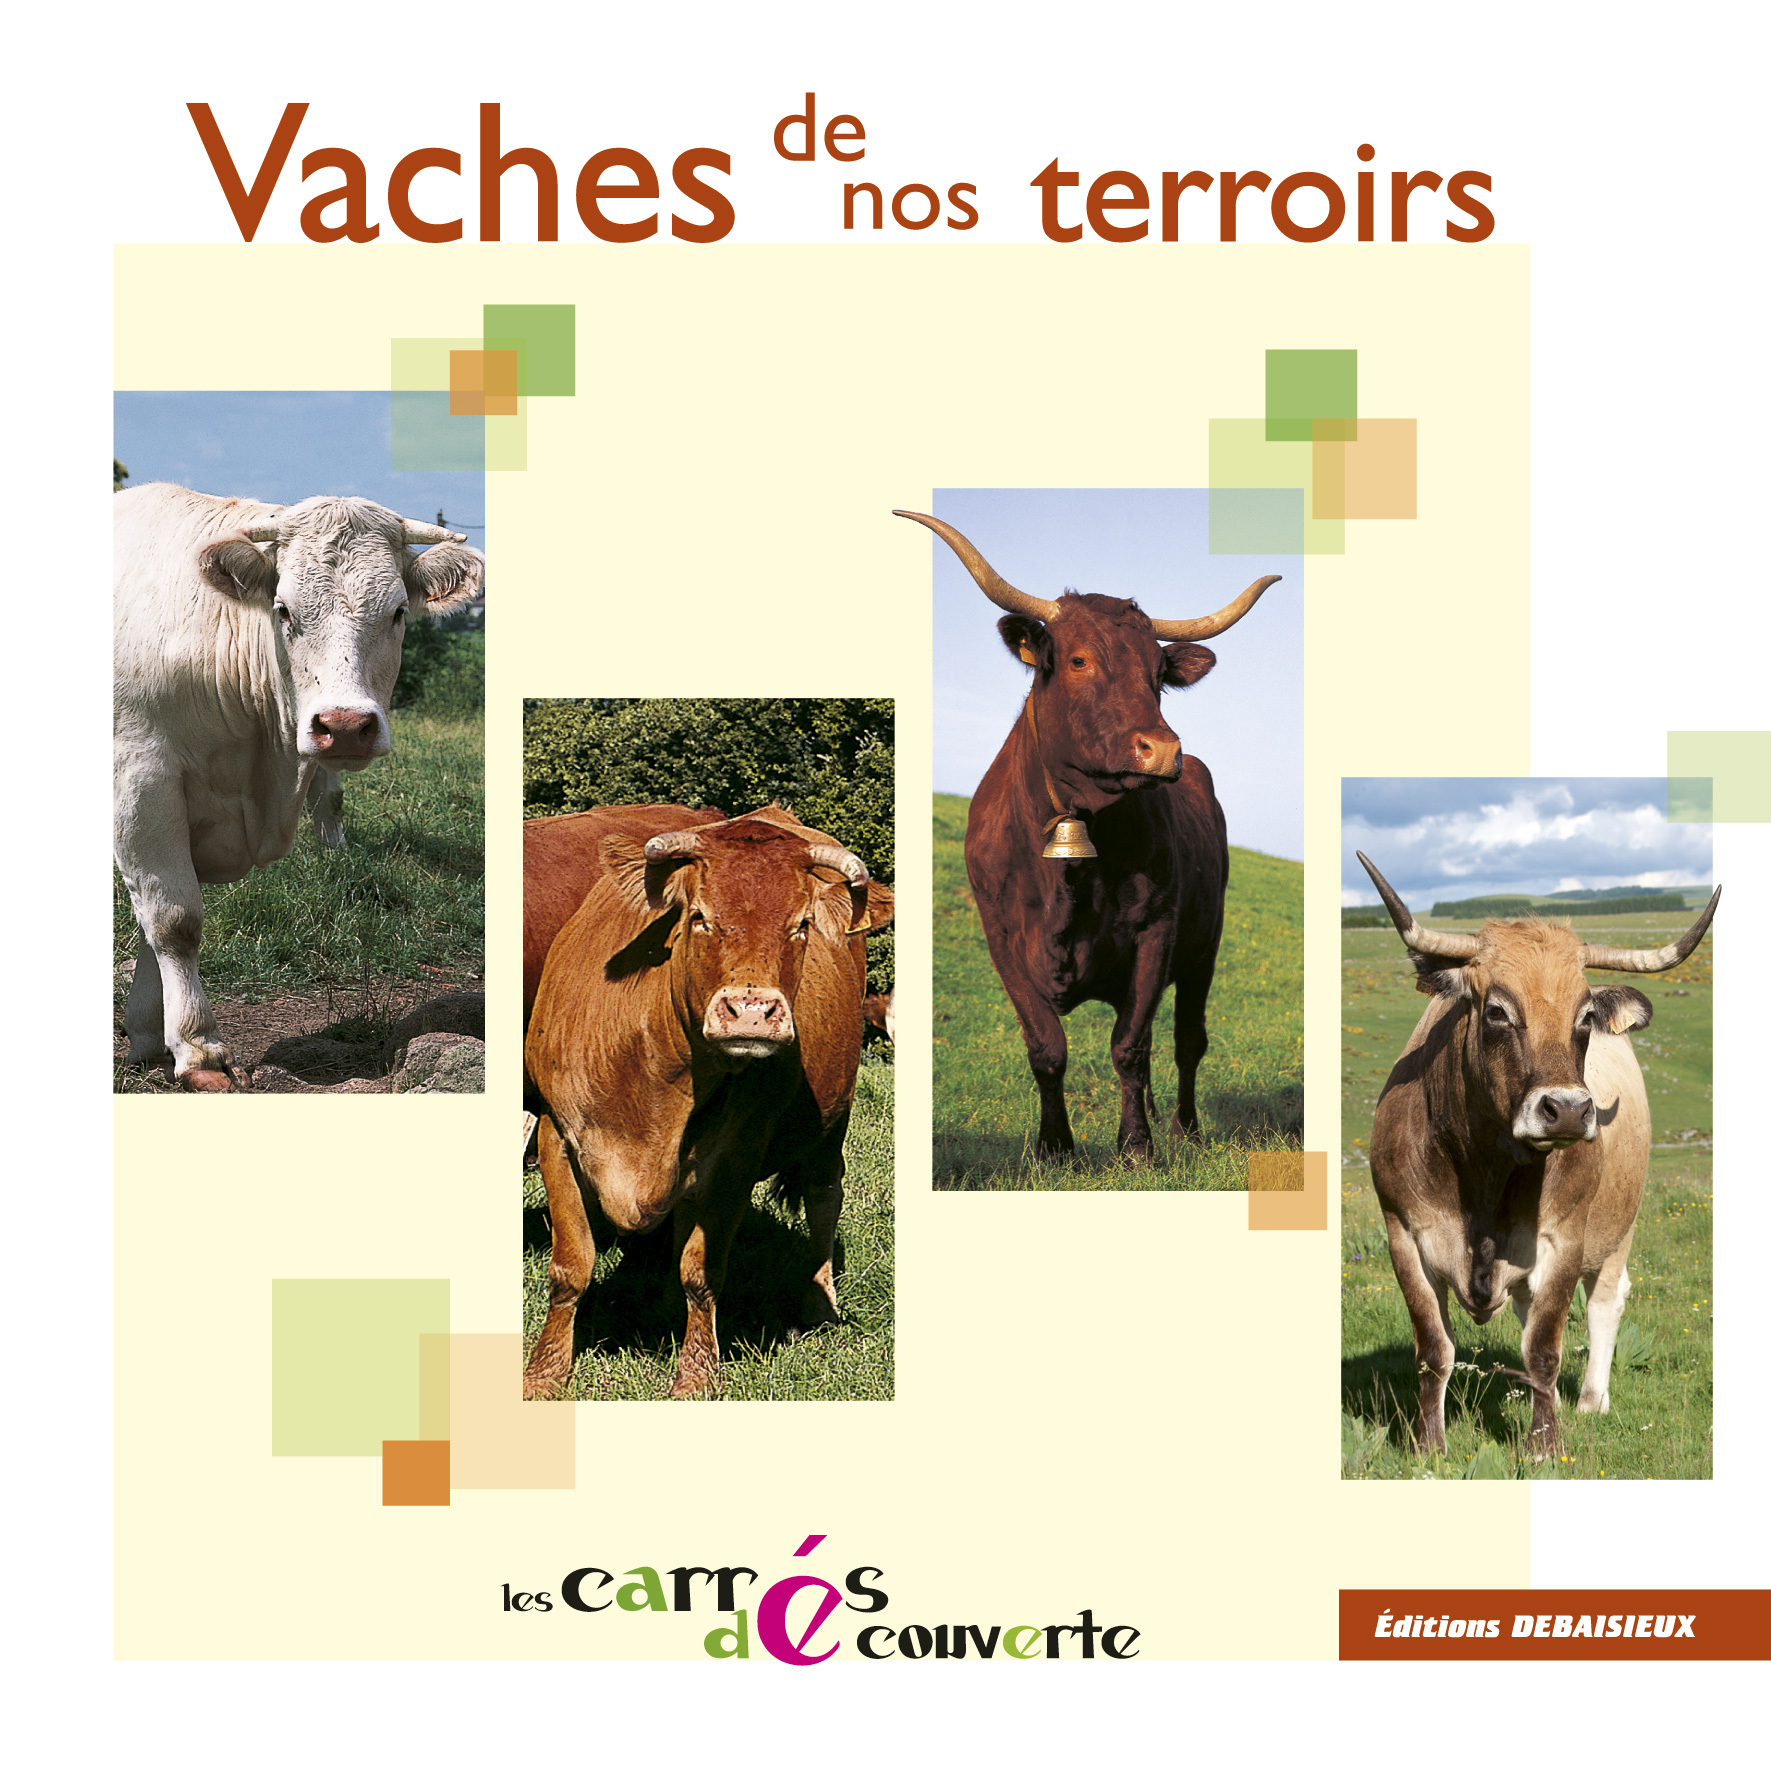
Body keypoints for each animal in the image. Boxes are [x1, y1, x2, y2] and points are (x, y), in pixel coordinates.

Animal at [114, 482, 484, 1089]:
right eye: (284, 610)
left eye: (398, 612)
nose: (345, 725)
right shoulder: (141, 780)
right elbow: (174, 920)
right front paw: (198, 1047)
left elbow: (156, 921)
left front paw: (148, 1036)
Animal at [523, 804, 894, 1398]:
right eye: (698, 917)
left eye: (801, 925)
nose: (751, 1012)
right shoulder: (555, 1131)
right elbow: (570, 1268)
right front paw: (544, 1373)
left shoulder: (736, 1157)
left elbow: (702, 1271)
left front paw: (696, 1376)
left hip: (832, 1118)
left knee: (824, 1196)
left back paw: (818, 1305)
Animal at [901, 509, 1280, 1158]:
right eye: (1078, 660)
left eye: (1159, 673)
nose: (1162, 751)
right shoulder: (1001, 939)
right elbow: (1046, 1048)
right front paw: (1055, 1147)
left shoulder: (1157, 931)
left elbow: (1129, 1047)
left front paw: (1137, 1148)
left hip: (1204, 948)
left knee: (1185, 1042)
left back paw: (1183, 1128)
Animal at [1357, 851, 1719, 1456]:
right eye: (1497, 1011)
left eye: (1585, 1017)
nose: (1569, 1110)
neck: (1483, 1169)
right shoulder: (1402, 1234)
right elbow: (1434, 1351)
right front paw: (1430, 1446)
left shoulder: (1565, 1240)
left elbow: (1545, 1348)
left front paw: (1545, 1446)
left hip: (1621, 1226)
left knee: (1605, 1302)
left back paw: (1592, 1399)